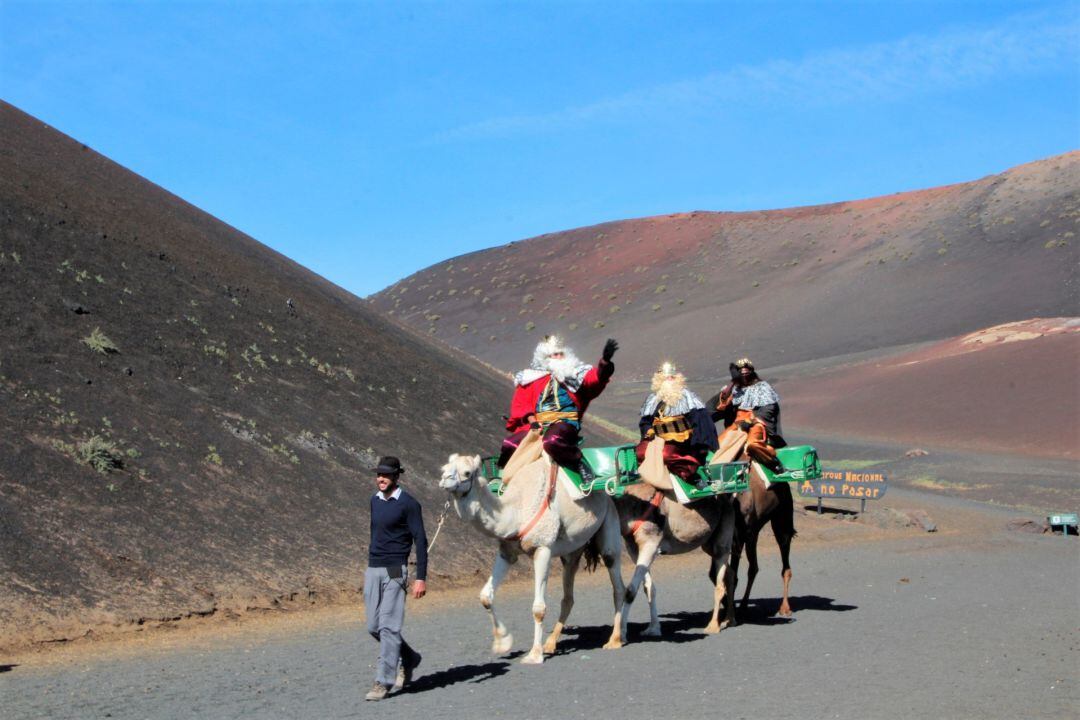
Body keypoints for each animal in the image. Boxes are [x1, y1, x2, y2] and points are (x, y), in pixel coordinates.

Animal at [436, 453, 626, 669]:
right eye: (445, 468)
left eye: (467, 472)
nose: (444, 480)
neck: (515, 512)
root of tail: (607, 494)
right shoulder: (507, 552)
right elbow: (485, 596)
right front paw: (502, 642)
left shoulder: (543, 548)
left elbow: (538, 608)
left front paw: (534, 655)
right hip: (573, 549)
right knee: (568, 594)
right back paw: (550, 644)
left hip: (609, 520)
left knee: (616, 579)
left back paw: (614, 640)